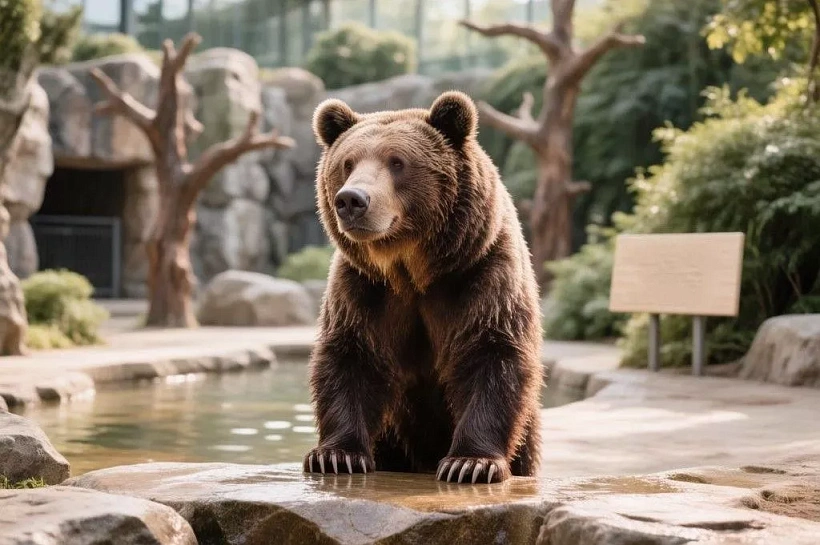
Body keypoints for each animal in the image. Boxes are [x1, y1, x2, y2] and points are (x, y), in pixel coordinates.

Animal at [303, 91, 543, 484]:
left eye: (397, 162)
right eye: (347, 163)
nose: (351, 200)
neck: (412, 270)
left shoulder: (482, 273)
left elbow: (492, 352)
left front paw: (470, 463)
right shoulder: (364, 289)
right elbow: (350, 356)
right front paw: (335, 456)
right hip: (392, 439)